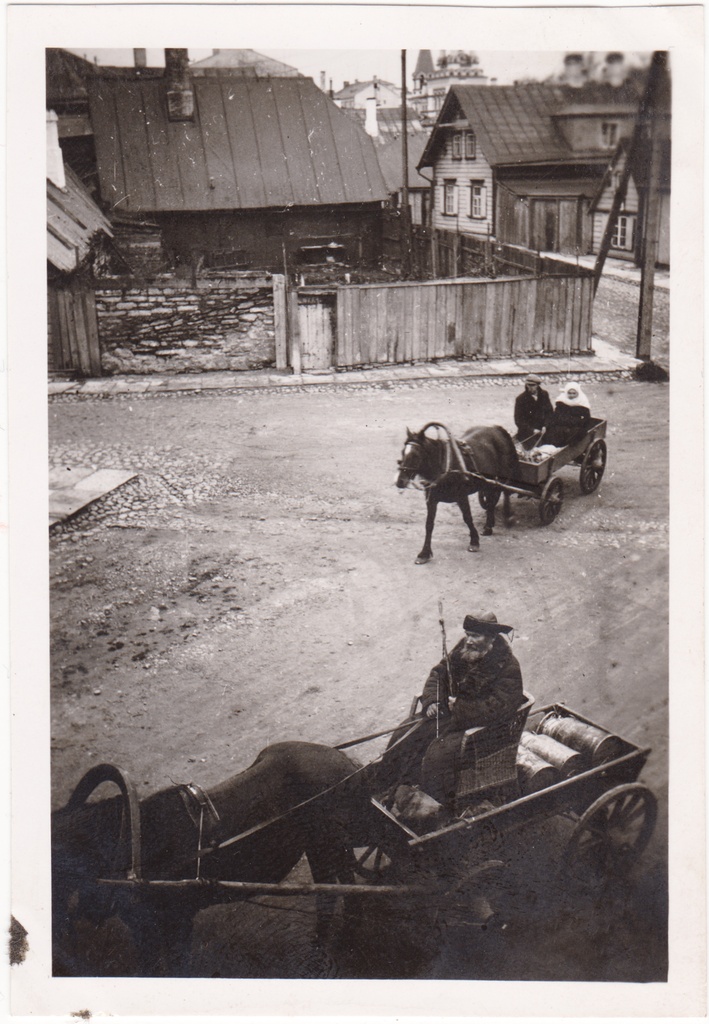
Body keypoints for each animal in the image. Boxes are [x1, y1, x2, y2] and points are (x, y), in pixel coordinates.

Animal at [51, 741, 368, 970]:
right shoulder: (144, 928)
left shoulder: (178, 920)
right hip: (321, 845)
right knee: (337, 887)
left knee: (339, 893)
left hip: (328, 842)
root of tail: (345, 762)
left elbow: (176, 965)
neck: (134, 844)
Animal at [395, 423, 518, 569]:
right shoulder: (431, 500)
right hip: (488, 481)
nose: (400, 481)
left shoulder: (461, 496)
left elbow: (467, 518)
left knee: (505, 493)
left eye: (416, 455)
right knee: (491, 500)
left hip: (503, 476)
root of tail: (496, 428)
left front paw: (474, 541)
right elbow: (429, 524)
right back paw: (488, 526)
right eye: (403, 452)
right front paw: (424, 553)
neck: (444, 466)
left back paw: (508, 517)